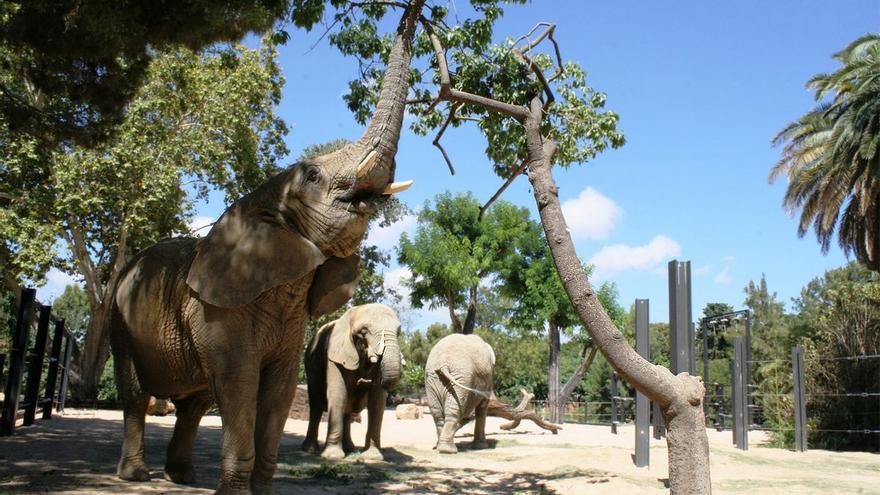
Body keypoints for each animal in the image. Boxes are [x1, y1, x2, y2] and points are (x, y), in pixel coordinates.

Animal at [300, 304, 402, 464]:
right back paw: (310, 449)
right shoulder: (334, 356)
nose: (364, 381)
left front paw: (372, 457)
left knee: (347, 412)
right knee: (316, 408)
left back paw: (350, 449)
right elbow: (338, 394)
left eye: (399, 331)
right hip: (311, 370)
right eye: (364, 331)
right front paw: (332, 456)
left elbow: (377, 401)